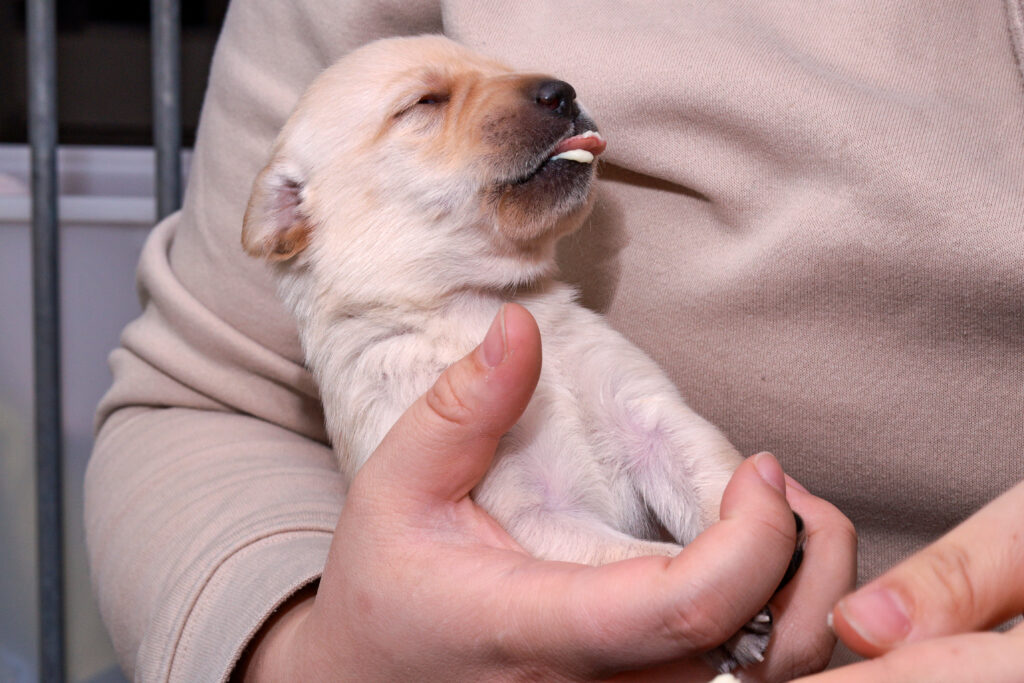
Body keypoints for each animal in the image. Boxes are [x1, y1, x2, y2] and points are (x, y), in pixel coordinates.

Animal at [243, 34, 786, 671]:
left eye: (502, 70)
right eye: (424, 102)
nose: (563, 91)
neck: (483, 306)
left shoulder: (646, 415)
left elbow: (706, 474)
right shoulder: (529, 514)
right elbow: (633, 555)